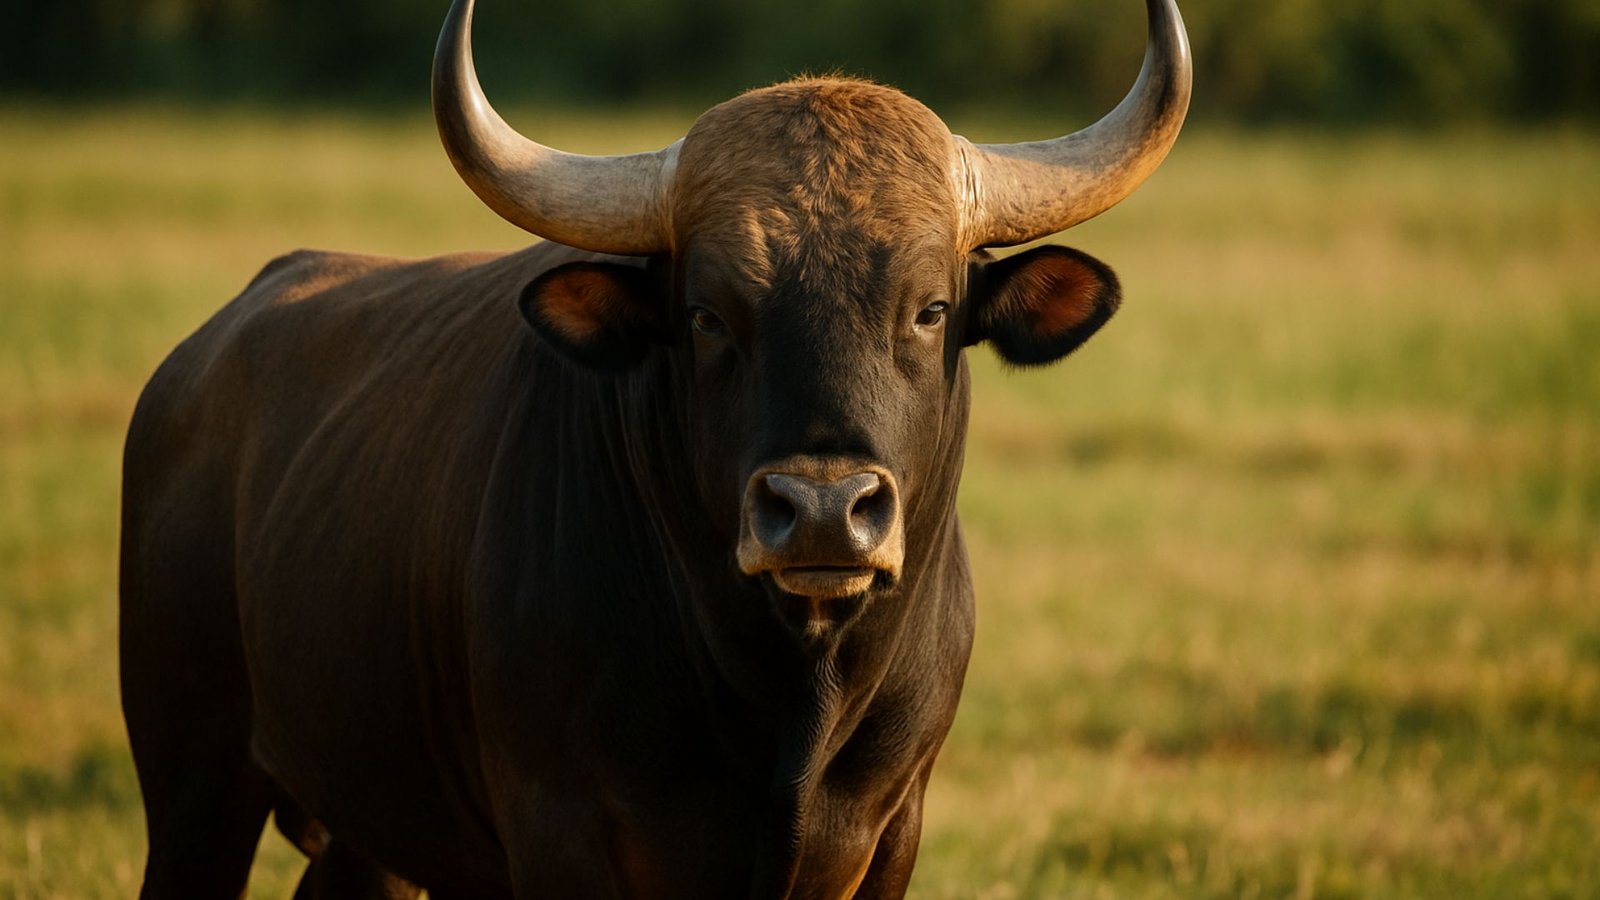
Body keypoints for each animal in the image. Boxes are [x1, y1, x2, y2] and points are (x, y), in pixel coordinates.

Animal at [118, 0, 1190, 896]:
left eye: (929, 308)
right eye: (709, 315)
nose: (823, 513)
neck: (787, 705)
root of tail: (200, 356)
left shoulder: (893, 832)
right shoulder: (559, 835)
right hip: (193, 778)